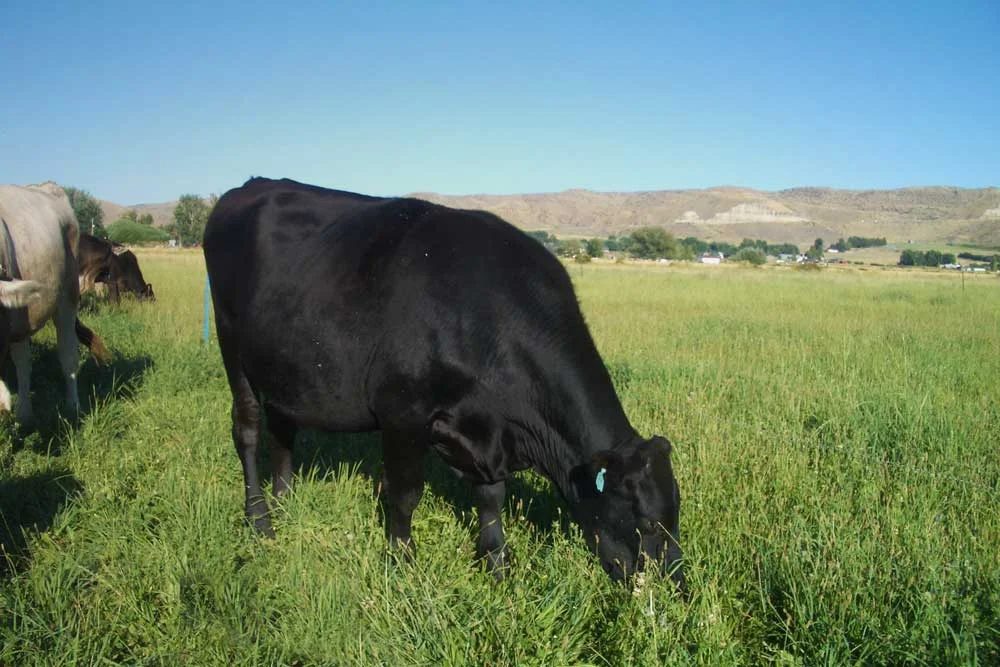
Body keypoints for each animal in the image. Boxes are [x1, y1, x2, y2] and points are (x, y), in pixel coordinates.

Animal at [203, 177, 684, 587]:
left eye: (676, 513)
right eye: (644, 521)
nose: (676, 588)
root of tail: (251, 186)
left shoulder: (488, 432)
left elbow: (491, 498)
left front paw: (497, 568)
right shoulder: (401, 412)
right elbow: (405, 494)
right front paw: (401, 564)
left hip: (285, 366)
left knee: (283, 428)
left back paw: (284, 503)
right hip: (232, 347)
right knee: (247, 431)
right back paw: (260, 520)